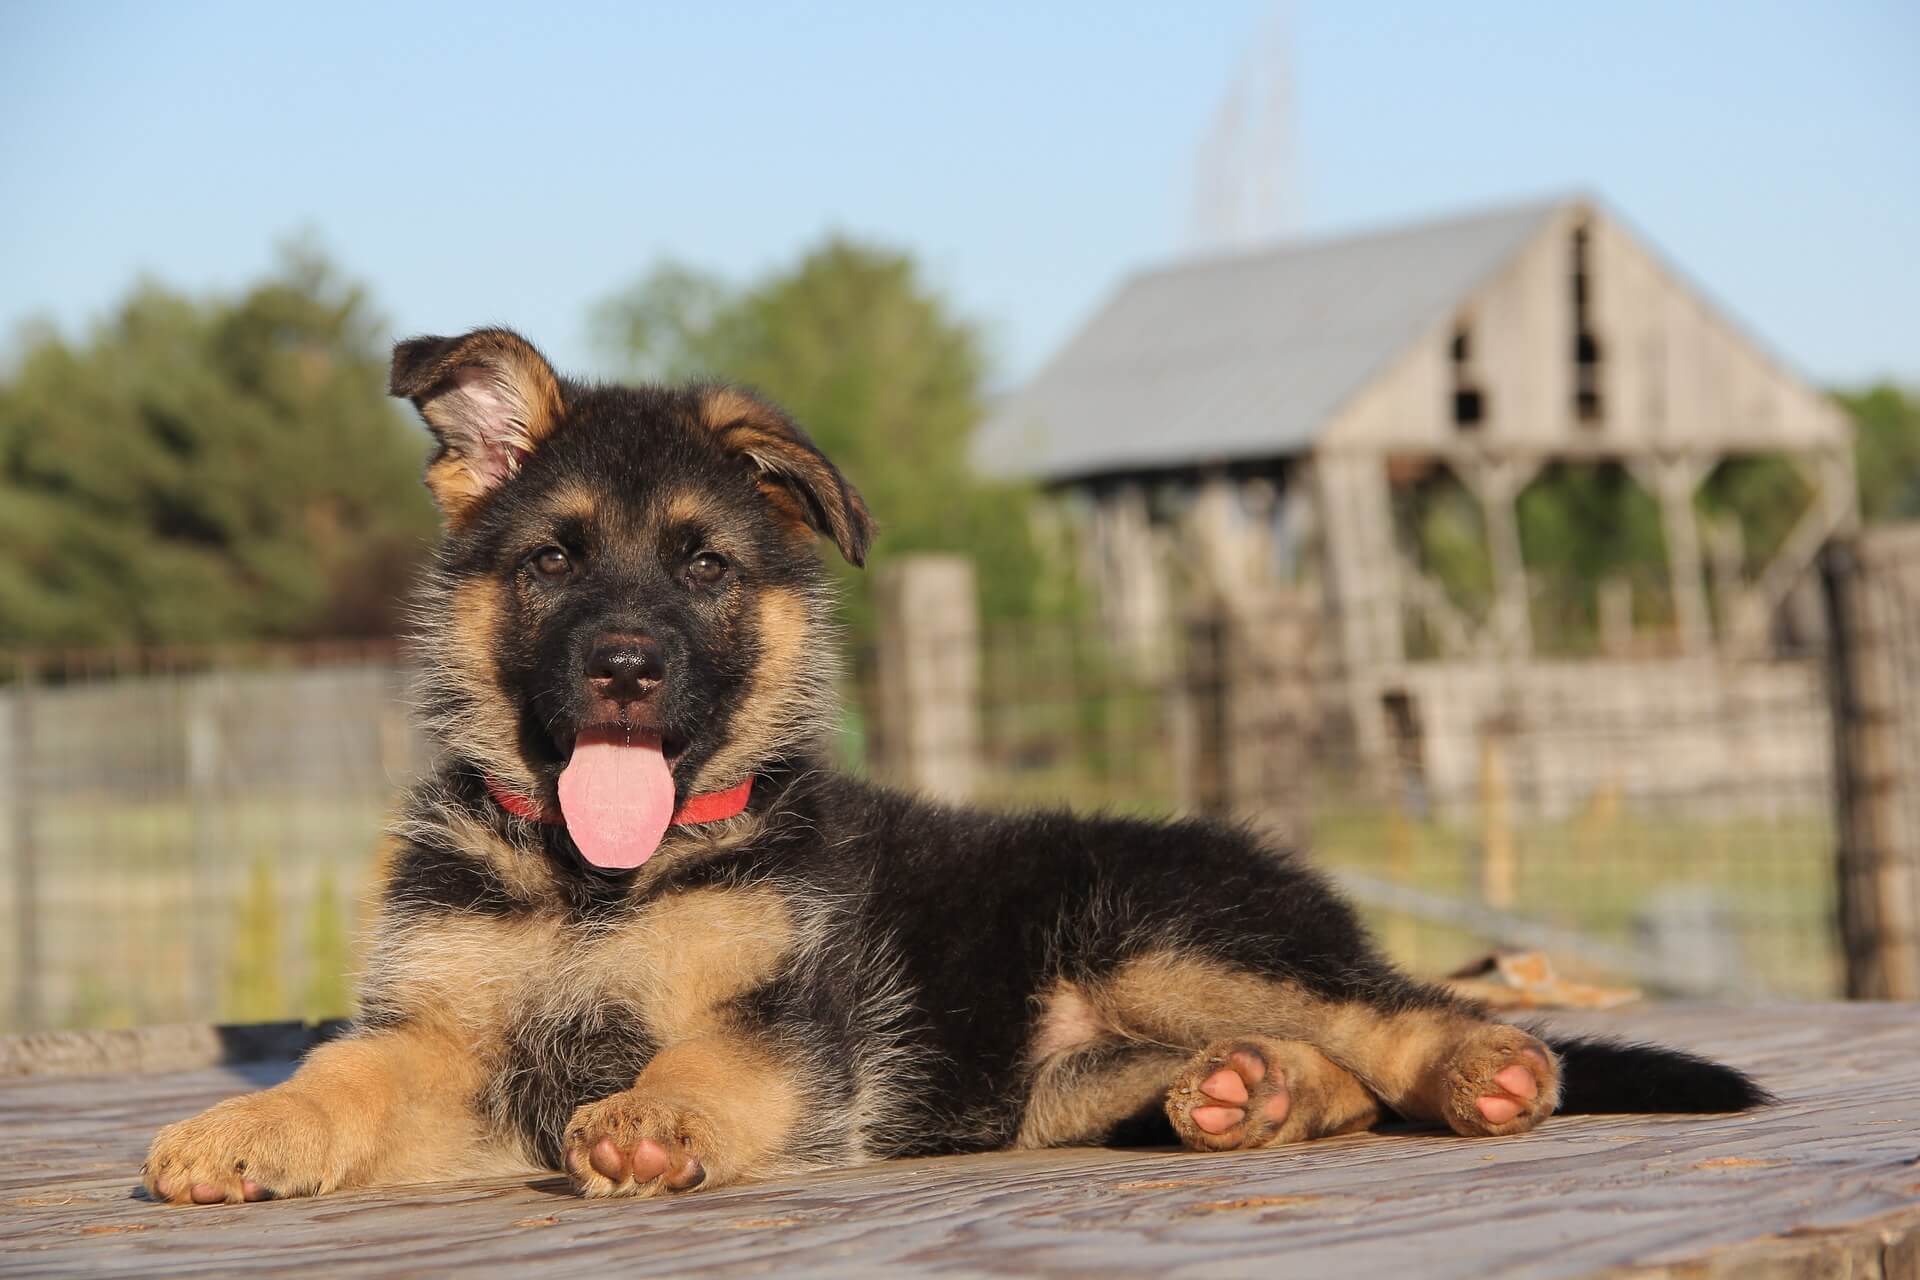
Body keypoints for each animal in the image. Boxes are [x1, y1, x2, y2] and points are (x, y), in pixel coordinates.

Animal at [142, 328, 1758, 1205]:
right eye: (551, 562)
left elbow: (704, 1057)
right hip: (1071, 1070)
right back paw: (1253, 1097)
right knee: (1320, 1069)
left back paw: (1480, 1068)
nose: (627, 669)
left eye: (705, 567)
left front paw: (655, 1116)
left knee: (1398, 1009)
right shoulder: (441, 1040)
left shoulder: (782, 1021)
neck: (600, 880)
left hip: (1165, 930)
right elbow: (341, 1072)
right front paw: (242, 1129)